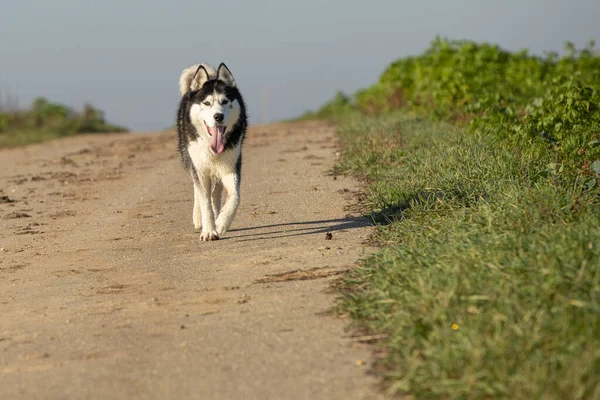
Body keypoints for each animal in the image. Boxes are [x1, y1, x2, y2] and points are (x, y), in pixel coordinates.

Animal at [177, 64, 247, 242]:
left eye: (225, 101)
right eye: (207, 103)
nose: (218, 116)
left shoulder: (231, 166)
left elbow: (235, 196)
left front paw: (222, 222)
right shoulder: (199, 169)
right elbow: (204, 201)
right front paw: (209, 230)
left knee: (217, 190)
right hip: (189, 159)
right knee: (199, 191)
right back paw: (198, 218)